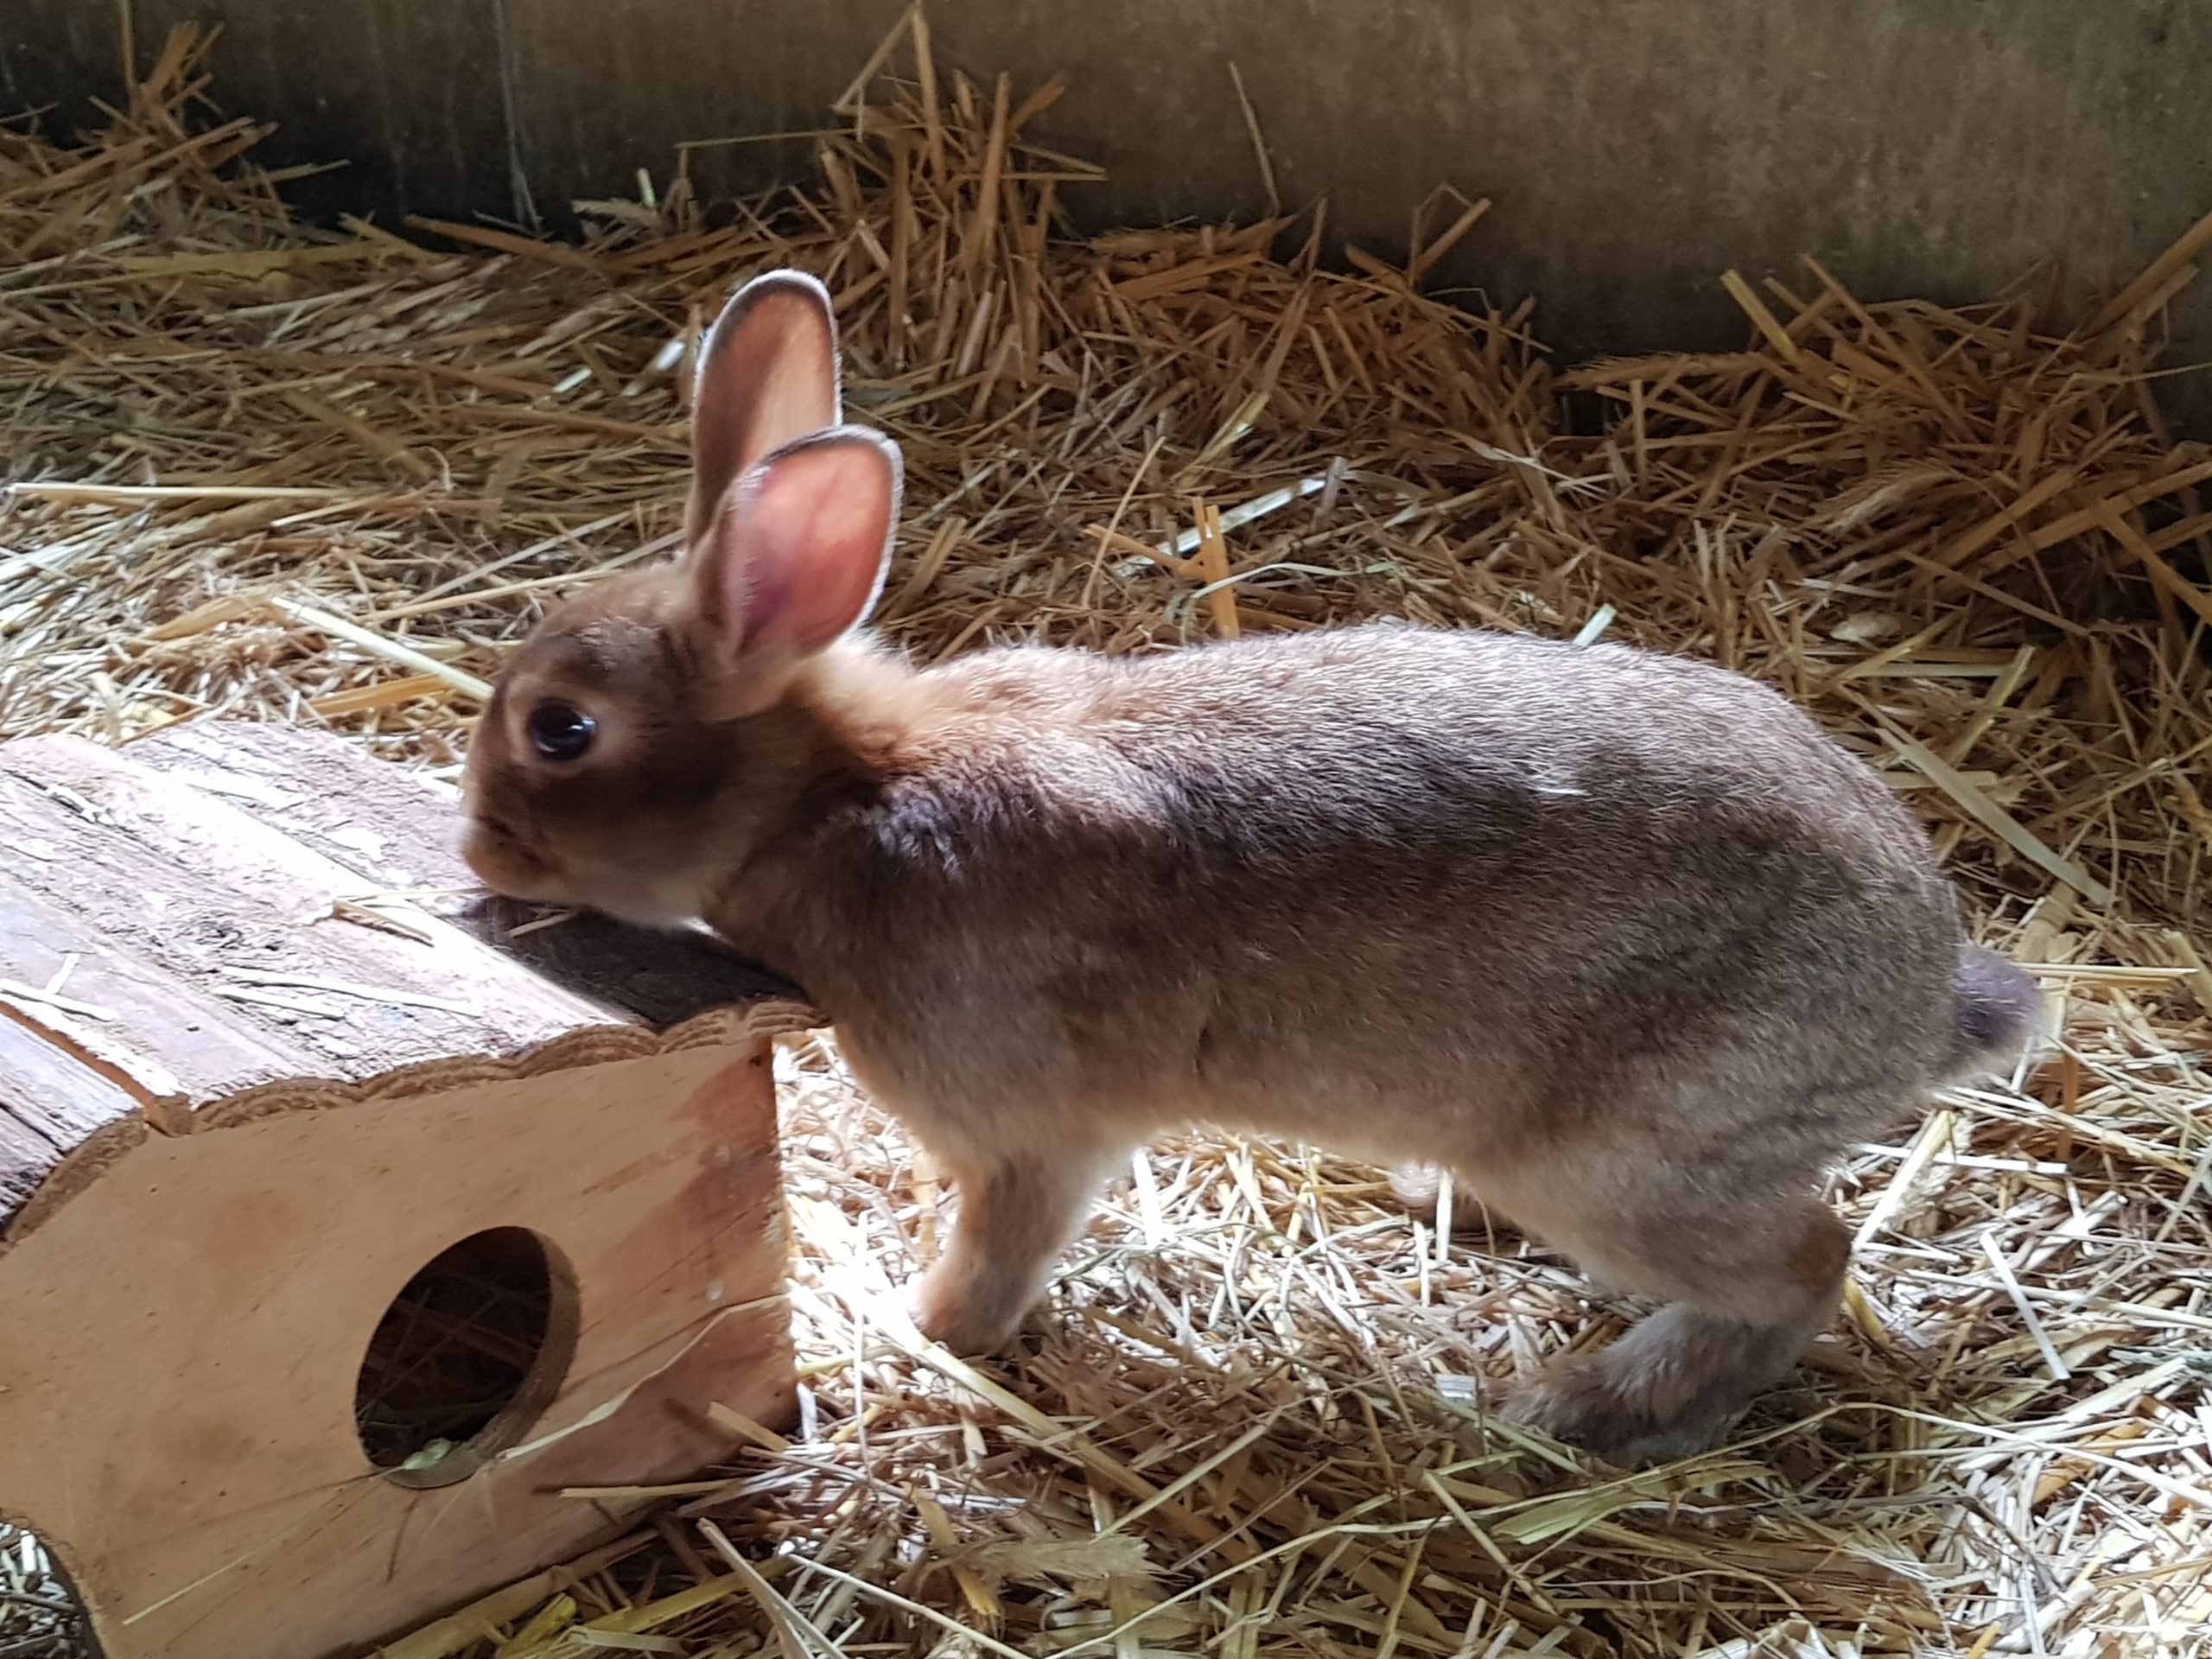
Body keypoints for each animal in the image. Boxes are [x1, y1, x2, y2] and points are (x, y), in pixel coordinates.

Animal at [461, 269, 2043, 1463]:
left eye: (562, 730)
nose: (475, 841)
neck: (838, 796)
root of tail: (1925, 1003)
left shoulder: (1029, 1138)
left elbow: (999, 1256)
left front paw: (919, 1333)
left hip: (1635, 1159)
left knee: (1804, 1267)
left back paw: (1592, 1407)